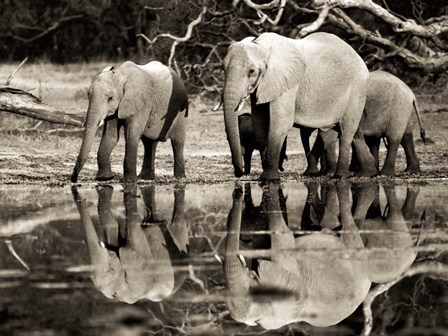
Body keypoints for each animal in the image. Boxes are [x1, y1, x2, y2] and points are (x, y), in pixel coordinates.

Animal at [221, 31, 374, 181]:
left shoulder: (288, 82)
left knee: (346, 130)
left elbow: (281, 122)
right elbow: (260, 122)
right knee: (334, 132)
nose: (239, 173)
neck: (261, 46)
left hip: (357, 89)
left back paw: (341, 176)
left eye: (252, 71)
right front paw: (265, 176)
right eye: (223, 69)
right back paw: (367, 173)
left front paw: (269, 179)